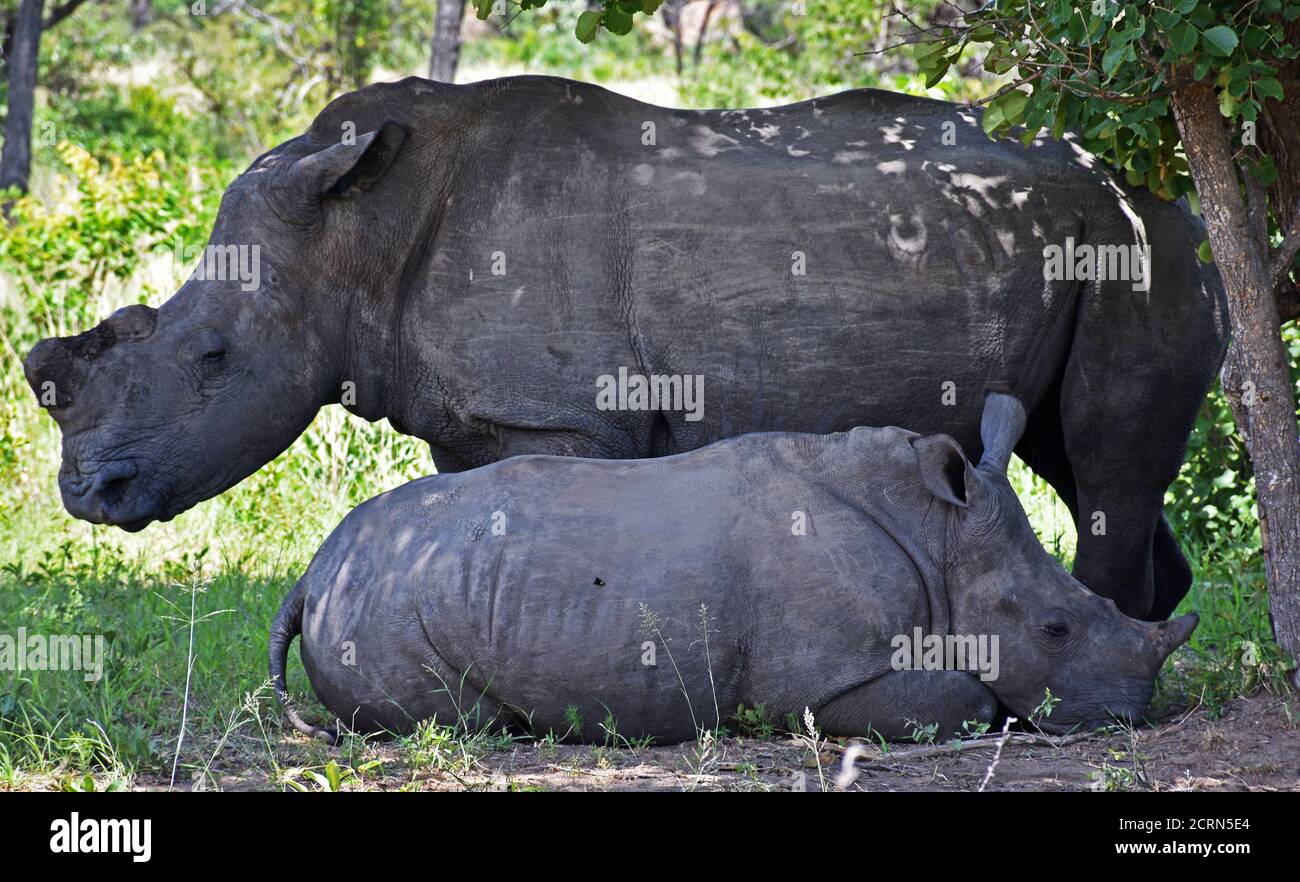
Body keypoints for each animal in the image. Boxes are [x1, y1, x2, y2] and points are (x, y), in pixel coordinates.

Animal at [30, 76, 1227, 624]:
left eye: (212, 359)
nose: (88, 494)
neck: (352, 233)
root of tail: (1169, 183)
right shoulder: (476, 418)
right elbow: (480, 524)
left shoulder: (563, 415)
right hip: (1096, 235)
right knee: (1081, 461)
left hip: (1140, 241)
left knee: (1108, 462)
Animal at [271, 395, 1196, 744]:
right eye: (1054, 628)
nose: (1132, 713)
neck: (938, 534)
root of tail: (313, 575)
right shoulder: (825, 682)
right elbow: (964, 702)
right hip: (381, 604)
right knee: (461, 719)